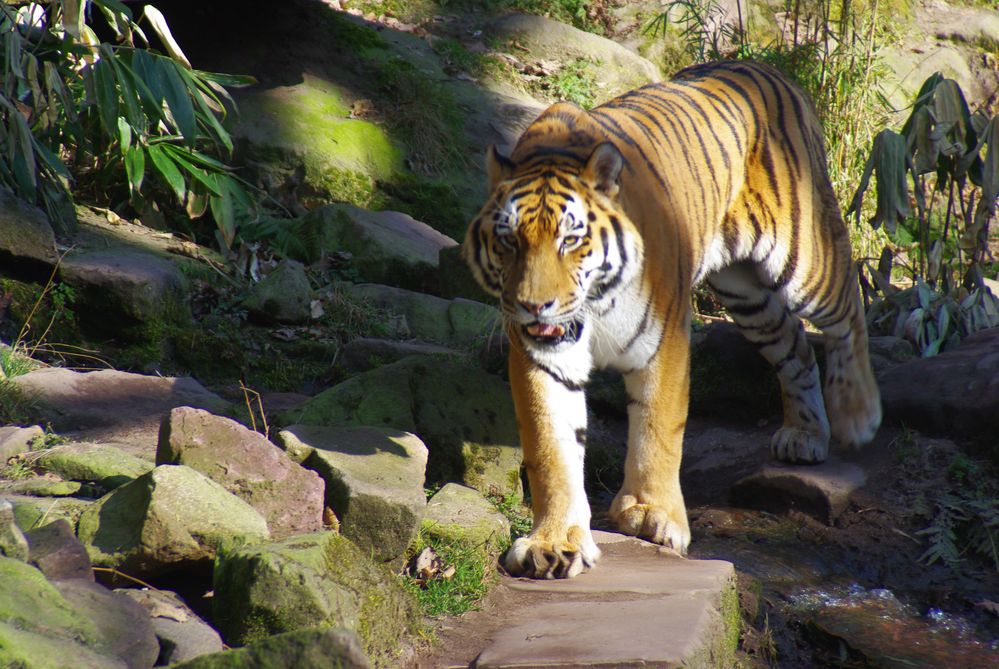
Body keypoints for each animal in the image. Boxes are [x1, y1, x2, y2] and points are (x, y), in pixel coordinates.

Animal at [460, 60, 884, 576]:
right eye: (509, 241)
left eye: (570, 240)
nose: (534, 305)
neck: (592, 305)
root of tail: (772, 69)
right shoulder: (542, 356)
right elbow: (550, 446)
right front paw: (555, 541)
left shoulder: (664, 339)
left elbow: (658, 427)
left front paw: (652, 514)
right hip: (745, 294)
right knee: (796, 346)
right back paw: (805, 434)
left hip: (802, 258)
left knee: (849, 304)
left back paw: (858, 414)